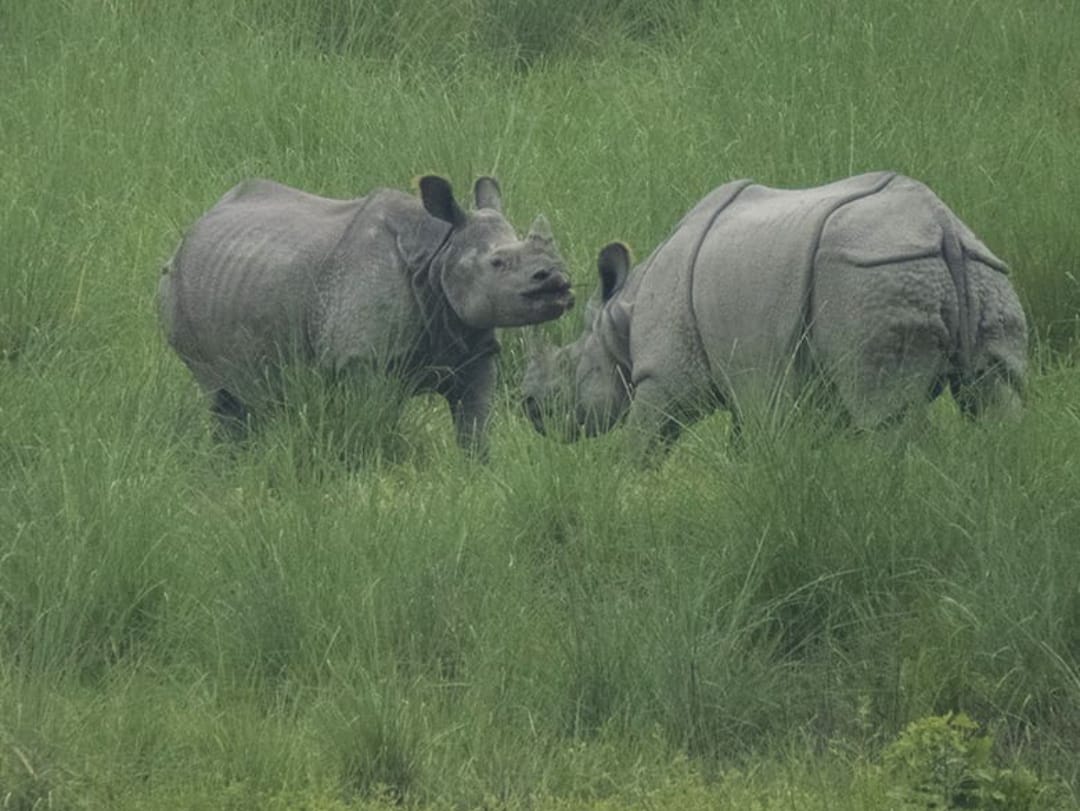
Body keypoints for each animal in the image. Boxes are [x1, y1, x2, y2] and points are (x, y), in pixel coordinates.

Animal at [159, 174, 573, 457]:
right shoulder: (364, 360)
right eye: (498, 263)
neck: (438, 252)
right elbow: (375, 422)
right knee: (222, 395)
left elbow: (475, 424)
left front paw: (478, 471)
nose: (557, 278)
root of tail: (193, 228)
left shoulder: (474, 347)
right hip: (175, 286)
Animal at [522, 171, 1027, 459]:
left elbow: (645, 438)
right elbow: (746, 440)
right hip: (981, 271)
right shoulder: (757, 379)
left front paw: (623, 485)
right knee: (996, 395)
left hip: (868, 274)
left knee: (884, 410)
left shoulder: (664, 374)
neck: (620, 318)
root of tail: (941, 228)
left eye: (567, 364)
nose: (528, 408)